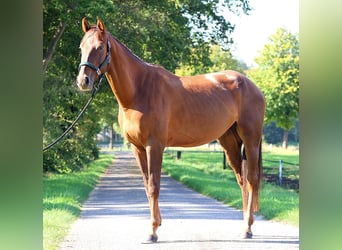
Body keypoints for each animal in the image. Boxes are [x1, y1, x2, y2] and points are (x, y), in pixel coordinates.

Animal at [77, 18, 264, 242]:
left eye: (99, 47)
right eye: (81, 47)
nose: (83, 81)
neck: (139, 90)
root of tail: (252, 85)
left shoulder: (154, 146)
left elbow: (153, 186)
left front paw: (152, 231)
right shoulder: (137, 148)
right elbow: (146, 185)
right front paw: (155, 226)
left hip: (251, 140)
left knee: (252, 179)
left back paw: (248, 227)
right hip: (229, 142)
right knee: (242, 180)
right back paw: (244, 226)